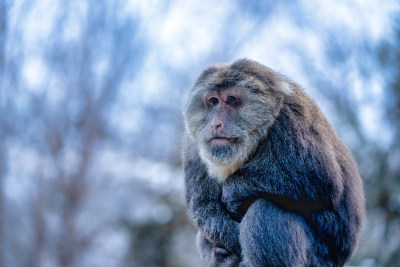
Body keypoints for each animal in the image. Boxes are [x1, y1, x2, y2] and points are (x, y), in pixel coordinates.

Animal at [183, 59, 364, 267]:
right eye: (213, 101)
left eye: (230, 99)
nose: (215, 124)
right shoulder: (192, 143)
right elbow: (203, 205)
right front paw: (227, 246)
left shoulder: (290, 119)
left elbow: (321, 178)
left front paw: (234, 190)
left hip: (318, 259)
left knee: (266, 210)